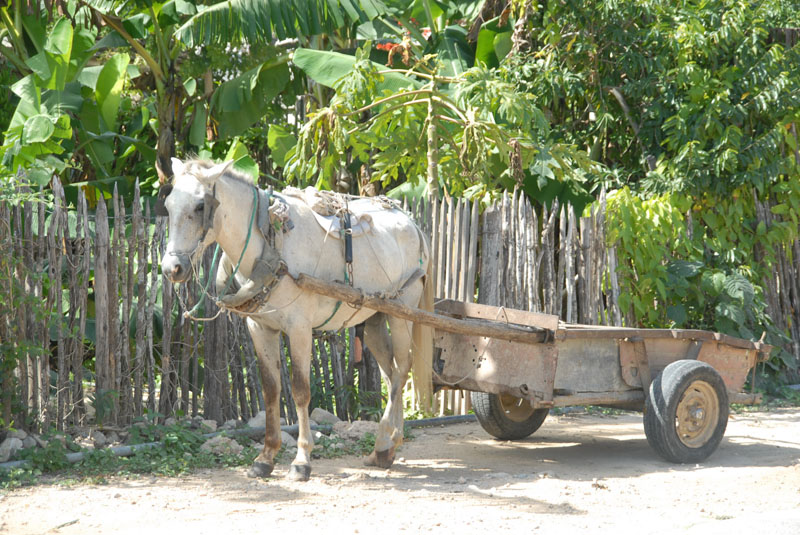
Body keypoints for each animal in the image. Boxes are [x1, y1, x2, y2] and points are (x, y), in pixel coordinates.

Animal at [161, 158, 432, 482]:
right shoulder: (260, 327)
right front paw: (266, 457)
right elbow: (271, 389)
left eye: (201, 206)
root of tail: (412, 223)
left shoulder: (299, 329)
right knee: (390, 374)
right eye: (168, 205)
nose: (171, 268)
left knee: (402, 370)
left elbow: (301, 391)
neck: (270, 243)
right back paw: (386, 448)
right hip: (375, 317)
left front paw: (302, 460)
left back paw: (385, 441)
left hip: (403, 312)